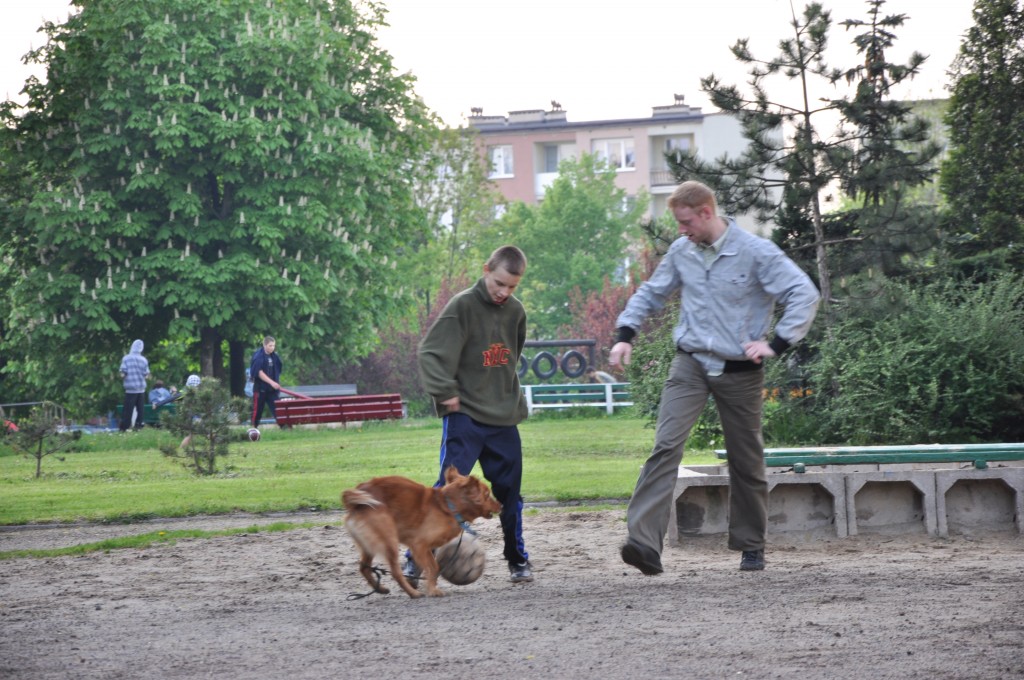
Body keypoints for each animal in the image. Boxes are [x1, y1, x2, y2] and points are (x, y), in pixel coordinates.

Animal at [342, 466, 501, 598]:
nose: (502, 505)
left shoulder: (426, 548)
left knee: (363, 567)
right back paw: (413, 593)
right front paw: (432, 590)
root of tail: (354, 502)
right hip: (389, 541)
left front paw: (432, 587)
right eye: (487, 494)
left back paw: (380, 589)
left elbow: (435, 567)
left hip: (368, 545)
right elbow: (432, 568)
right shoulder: (419, 545)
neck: (448, 506)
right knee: (395, 573)